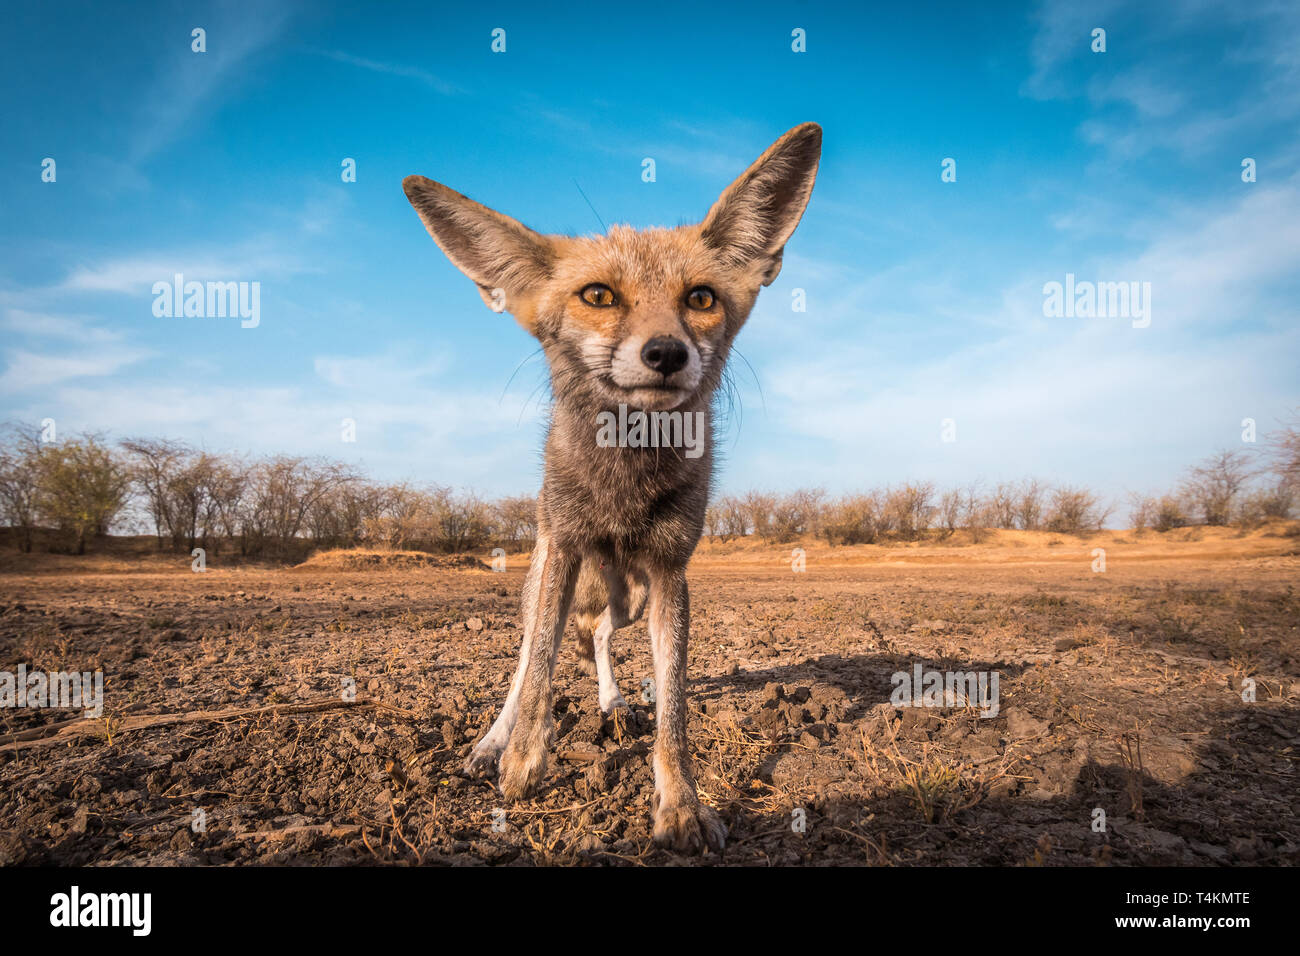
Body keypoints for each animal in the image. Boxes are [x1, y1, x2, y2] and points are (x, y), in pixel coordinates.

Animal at [400, 121, 816, 853]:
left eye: (700, 299)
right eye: (599, 295)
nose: (666, 353)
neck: (622, 487)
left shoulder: (672, 574)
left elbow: (674, 713)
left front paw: (681, 807)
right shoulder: (564, 547)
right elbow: (538, 668)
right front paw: (521, 764)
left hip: (630, 599)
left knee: (596, 636)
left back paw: (613, 702)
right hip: (546, 577)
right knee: (528, 656)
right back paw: (496, 740)